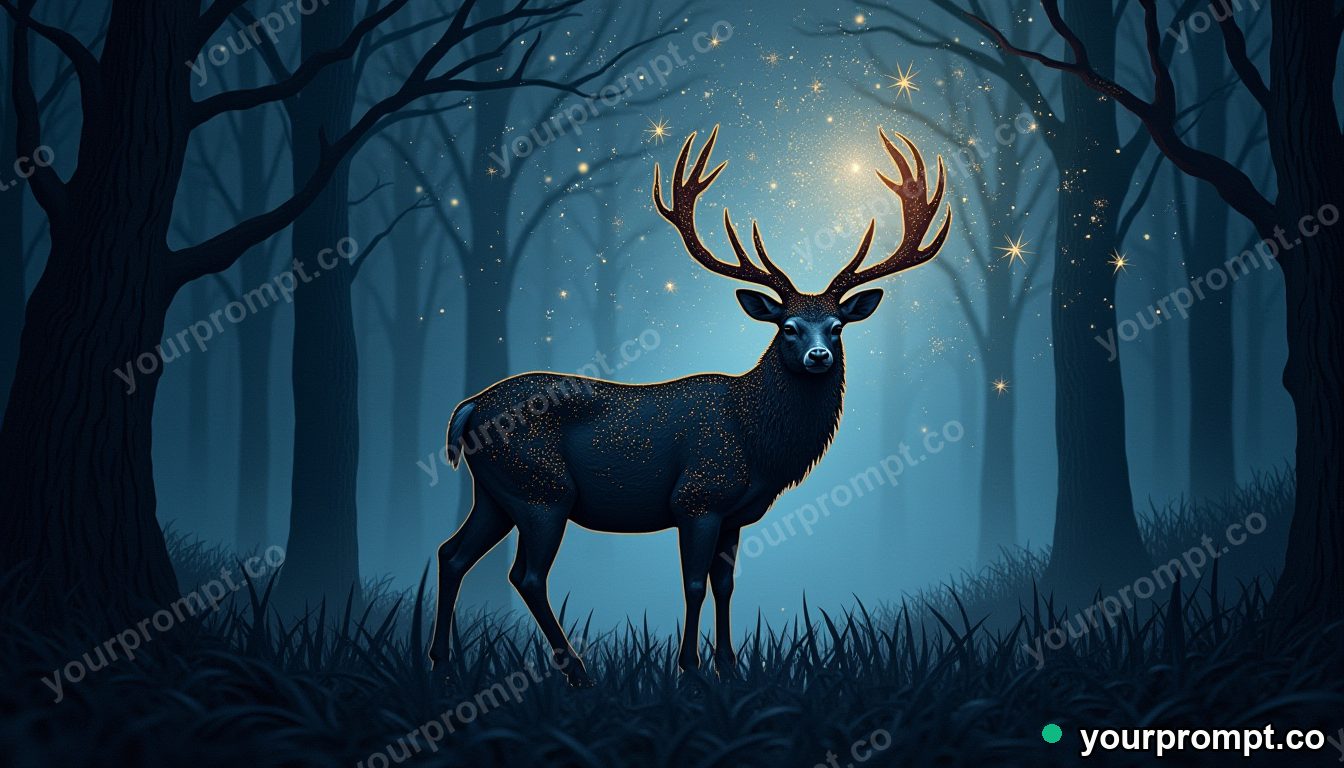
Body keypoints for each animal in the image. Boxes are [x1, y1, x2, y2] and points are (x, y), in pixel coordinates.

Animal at [428, 126, 950, 686]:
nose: (819, 356)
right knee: (525, 574)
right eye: (787, 327)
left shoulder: (735, 515)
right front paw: (690, 669)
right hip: (542, 489)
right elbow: (694, 583)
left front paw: (729, 665)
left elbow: (725, 585)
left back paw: (441, 661)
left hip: (496, 492)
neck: (756, 442)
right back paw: (577, 671)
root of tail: (468, 409)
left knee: (452, 553)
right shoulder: (698, 497)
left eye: (837, 327)